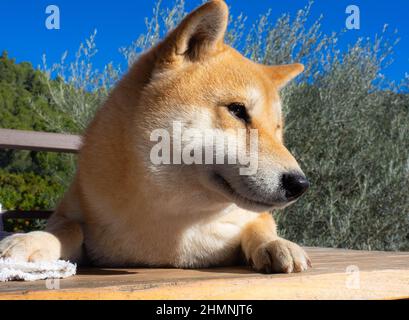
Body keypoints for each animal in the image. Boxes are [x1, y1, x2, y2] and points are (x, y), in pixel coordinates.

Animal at [0, 1, 310, 274]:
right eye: (237, 110)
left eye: (278, 128)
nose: (300, 184)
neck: (175, 224)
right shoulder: (70, 213)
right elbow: (67, 227)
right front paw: (29, 240)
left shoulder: (254, 216)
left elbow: (260, 228)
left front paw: (277, 244)